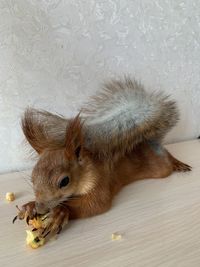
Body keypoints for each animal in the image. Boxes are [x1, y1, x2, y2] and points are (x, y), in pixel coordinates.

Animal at [17, 78, 191, 239]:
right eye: (32, 178)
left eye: (64, 181)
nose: (41, 208)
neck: (87, 168)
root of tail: (150, 142)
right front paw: (30, 206)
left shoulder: (101, 180)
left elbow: (96, 204)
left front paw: (60, 213)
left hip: (159, 167)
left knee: (167, 158)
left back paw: (177, 163)